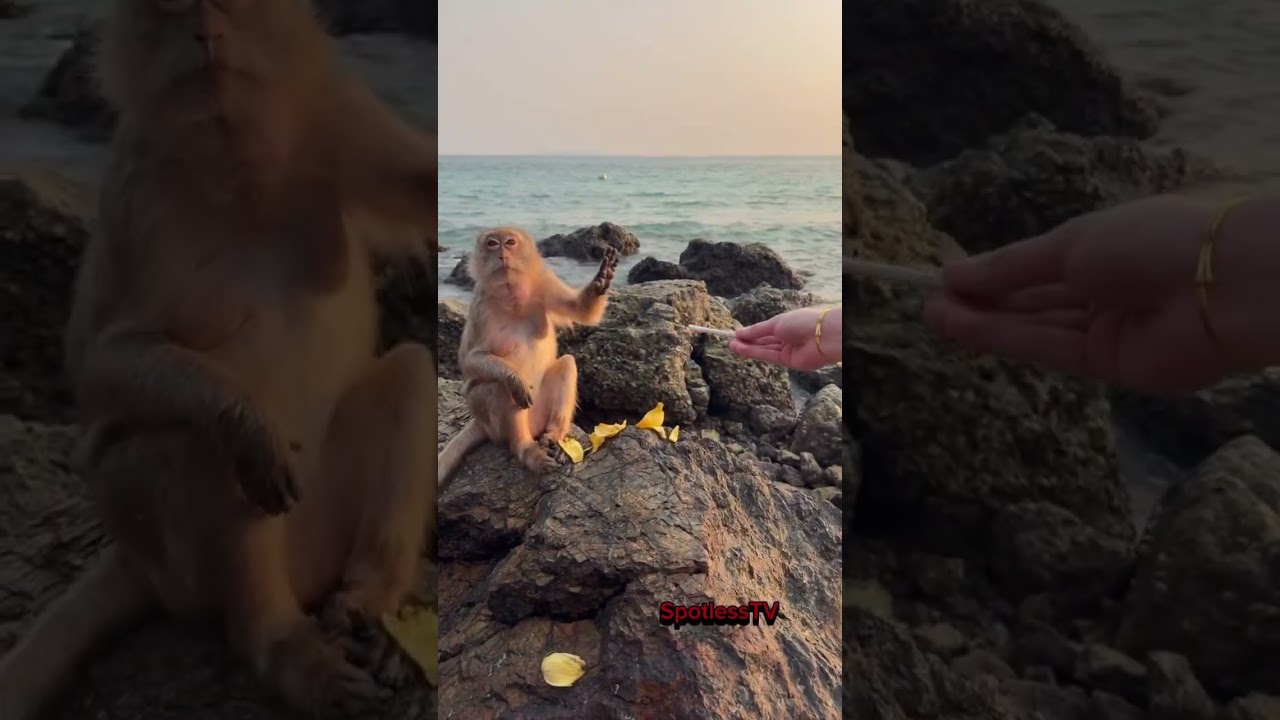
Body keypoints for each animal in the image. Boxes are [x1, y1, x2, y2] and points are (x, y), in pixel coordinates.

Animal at [0, 1, 439, 718]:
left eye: (236, 6)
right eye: (169, 12)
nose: (205, 34)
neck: (236, 166)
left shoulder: (335, 109)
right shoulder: (135, 194)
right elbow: (101, 361)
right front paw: (244, 421)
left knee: (406, 373)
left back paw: (371, 606)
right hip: (168, 553)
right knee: (194, 446)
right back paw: (283, 647)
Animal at [436, 227, 618, 488]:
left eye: (510, 242)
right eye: (492, 244)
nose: (502, 253)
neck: (511, 295)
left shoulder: (545, 282)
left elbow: (581, 311)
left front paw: (600, 281)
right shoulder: (480, 306)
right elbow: (470, 360)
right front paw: (514, 378)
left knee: (566, 364)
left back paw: (554, 437)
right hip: (491, 421)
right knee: (499, 389)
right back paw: (526, 449)